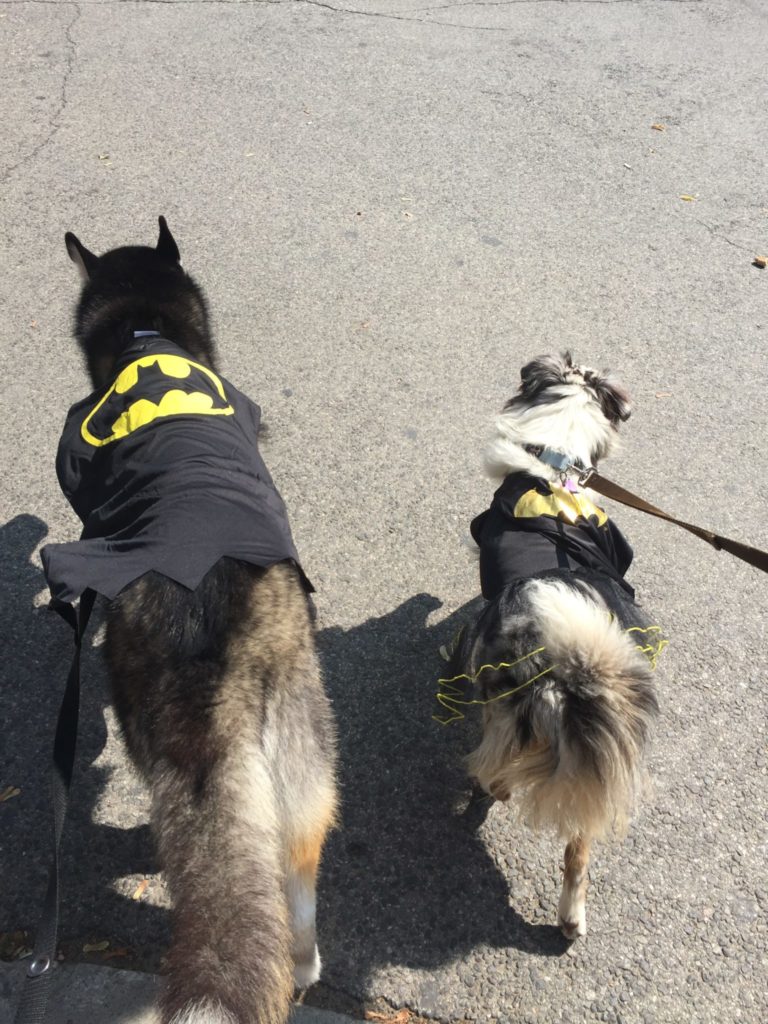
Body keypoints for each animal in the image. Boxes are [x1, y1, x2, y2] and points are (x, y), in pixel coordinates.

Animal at [438, 356, 667, 937]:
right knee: (578, 851)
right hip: (597, 769)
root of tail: (567, 673)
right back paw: (570, 920)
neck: (556, 465)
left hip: (502, 715)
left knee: (496, 776)